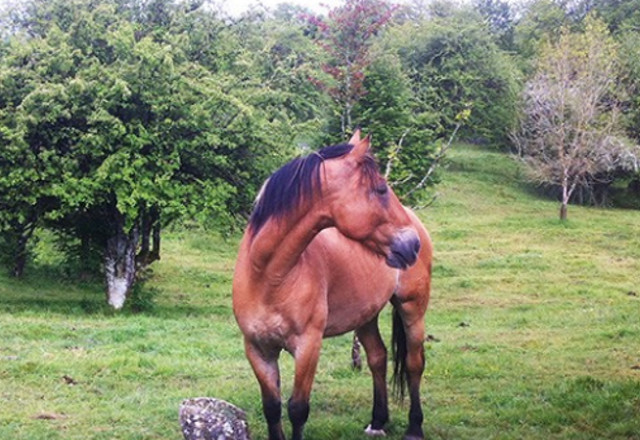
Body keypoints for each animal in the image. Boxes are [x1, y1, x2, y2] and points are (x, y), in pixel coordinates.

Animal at [232, 131, 432, 440]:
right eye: (381, 189)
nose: (412, 244)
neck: (268, 277)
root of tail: (418, 221)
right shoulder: (257, 349)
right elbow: (272, 408)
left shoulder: (308, 347)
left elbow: (297, 409)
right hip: (366, 316)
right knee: (377, 357)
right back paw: (377, 421)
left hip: (412, 308)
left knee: (414, 363)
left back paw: (414, 428)